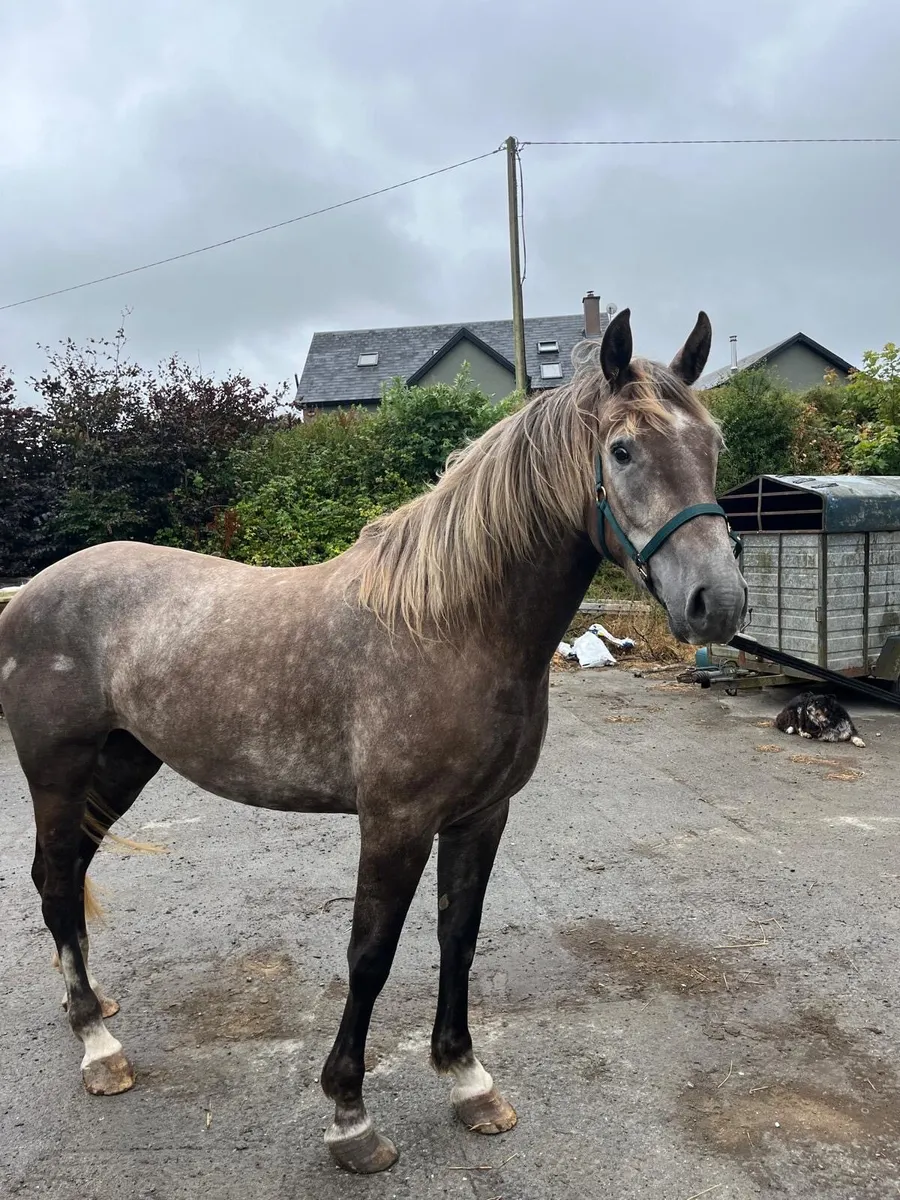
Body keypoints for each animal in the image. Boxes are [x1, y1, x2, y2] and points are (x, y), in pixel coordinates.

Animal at [0, 309, 747, 1174]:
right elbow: (371, 955)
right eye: (624, 449)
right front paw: (351, 1118)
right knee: (58, 883)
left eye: (712, 444)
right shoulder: (395, 823)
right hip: (58, 773)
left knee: (63, 876)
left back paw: (87, 1007)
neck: (452, 627)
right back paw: (99, 1046)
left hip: (124, 762)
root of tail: (30, 593)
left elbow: (459, 938)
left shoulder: (481, 817)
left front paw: (467, 1080)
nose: (718, 601)